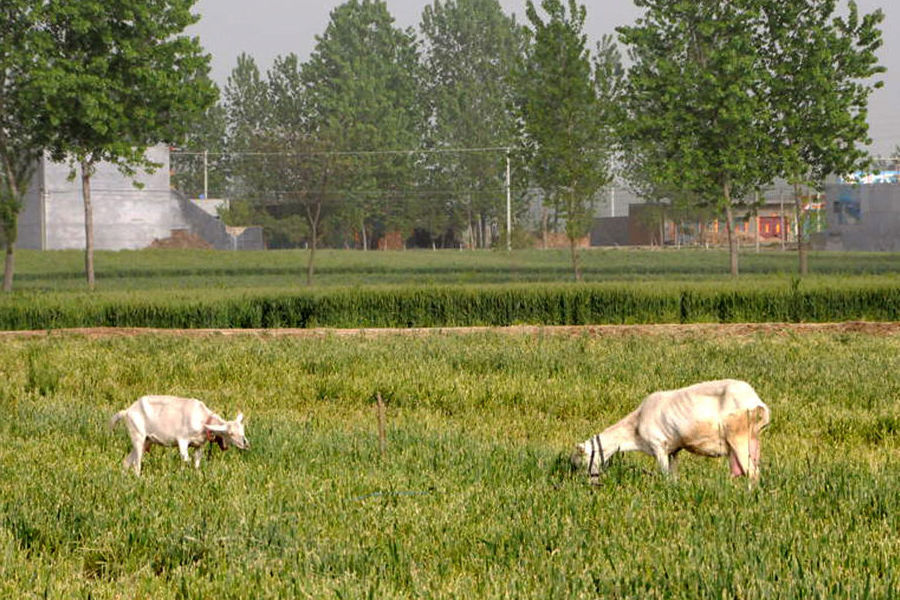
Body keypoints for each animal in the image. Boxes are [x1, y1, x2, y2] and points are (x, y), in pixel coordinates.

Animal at [110, 396, 250, 476]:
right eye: (231, 433)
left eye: (242, 430)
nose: (245, 444)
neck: (203, 419)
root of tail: (126, 412)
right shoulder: (182, 440)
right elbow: (185, 460)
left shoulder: (199, 445)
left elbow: (196, 462)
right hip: (137, 435)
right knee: (136, 463)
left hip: (146, 441)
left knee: (126, 461)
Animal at [572, 382, 768, 486]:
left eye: (579, 463)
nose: (589, 484)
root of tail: (756, 400)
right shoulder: (674, 450)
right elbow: (673, 475)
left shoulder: (659, 446)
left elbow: (665, 475)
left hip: (739, 437)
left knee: (753, 473)